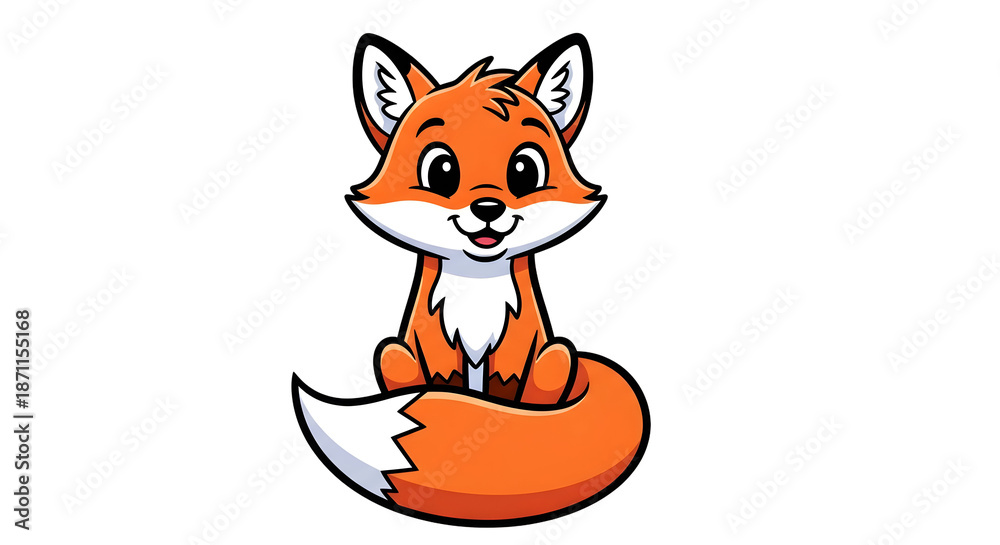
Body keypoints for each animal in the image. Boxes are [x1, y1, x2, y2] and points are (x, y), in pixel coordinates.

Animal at [292, 33, 649, 526]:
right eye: (441, 170)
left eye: (524, 170)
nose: (488, 209)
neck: (476, 293)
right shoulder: (436, 348)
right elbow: (447, 382)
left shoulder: (513, 352)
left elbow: (502, 399)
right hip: (394, 354)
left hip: (556, 355)